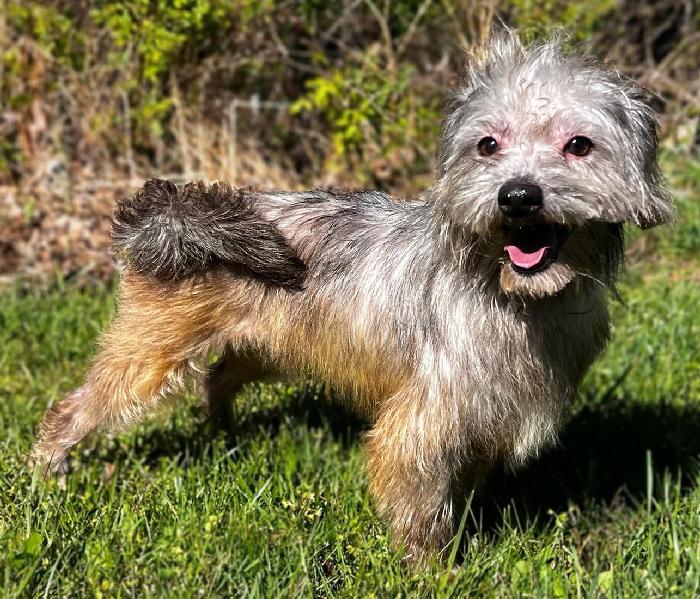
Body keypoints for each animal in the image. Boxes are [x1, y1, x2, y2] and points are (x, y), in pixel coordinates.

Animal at [32, 33, 672, 565]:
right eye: (488, 144)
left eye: (578, 145)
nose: (517, 197)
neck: (515, 299)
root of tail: (172, 209)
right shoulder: (419, 427)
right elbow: (420, 510)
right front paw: (431, 572)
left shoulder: (479, 422)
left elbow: (462, 487)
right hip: (147, 357)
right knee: (73, 408)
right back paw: (48, 474)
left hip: (266, 344)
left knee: (218, 378)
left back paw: (225, 436)